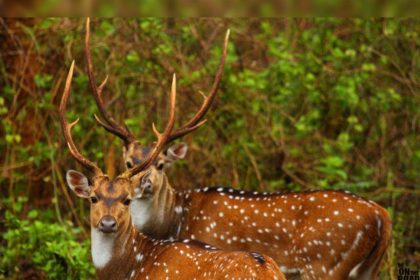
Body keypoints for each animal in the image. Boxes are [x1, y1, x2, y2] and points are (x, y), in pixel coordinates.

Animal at [85, 18, 394, 278]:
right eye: (129, 162)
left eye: (160, 163)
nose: (144, 184)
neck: (174, 221)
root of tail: (384, 218)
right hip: (367, 270)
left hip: (325, 264)